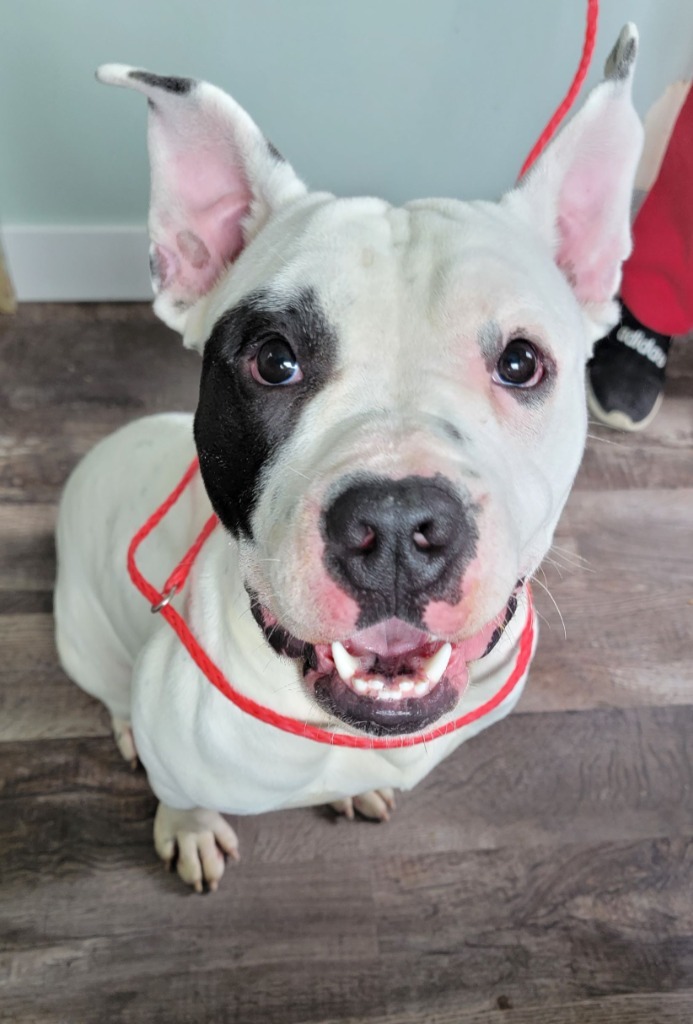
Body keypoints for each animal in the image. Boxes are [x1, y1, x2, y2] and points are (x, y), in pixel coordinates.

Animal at [53, 24, 642, 888]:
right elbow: (179, 790)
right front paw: (188, 825)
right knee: (110, 692)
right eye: (273, 359)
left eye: (520, 363)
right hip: (83, 638)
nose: (394, 528)